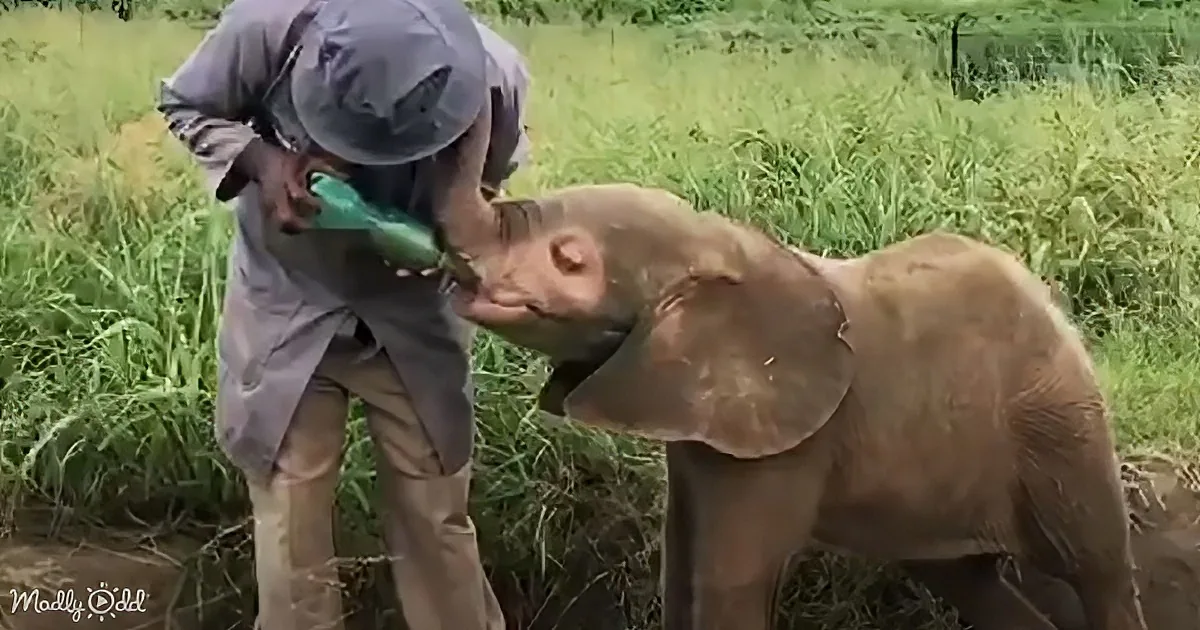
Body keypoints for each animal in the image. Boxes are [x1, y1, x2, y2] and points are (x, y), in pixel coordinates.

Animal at [437, 183, 1149, 630]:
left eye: (569, 260)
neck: (717, 240)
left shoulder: (787, 445)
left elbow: (730, 580)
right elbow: (681, 567)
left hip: (1060, 428)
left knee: (1100, 570)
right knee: (968, 579)